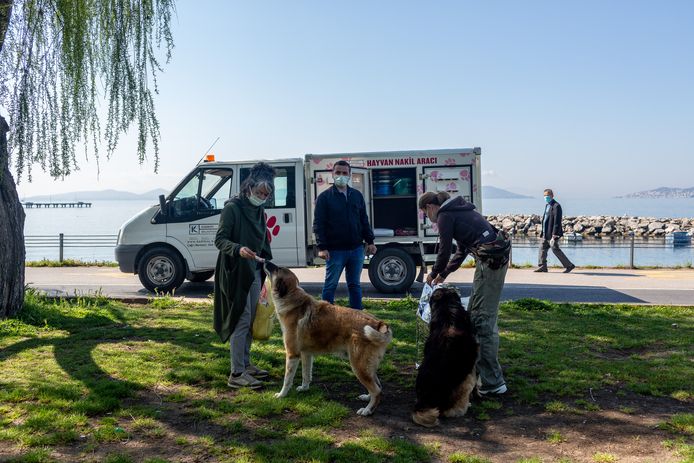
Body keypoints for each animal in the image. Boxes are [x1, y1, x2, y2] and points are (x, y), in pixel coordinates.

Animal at [263, 261, 393, 416]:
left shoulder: (292, 354)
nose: (265, 261)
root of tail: (379, 323)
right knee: (377, 385)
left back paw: (367, 410)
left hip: (358, 366)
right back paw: (367, 397)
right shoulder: (306, 354)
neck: (293, 300)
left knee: (377, 390)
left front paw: (281, 395)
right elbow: (306, 374)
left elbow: (287, 379)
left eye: (277, 269)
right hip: (367, 367)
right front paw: (304, 388)